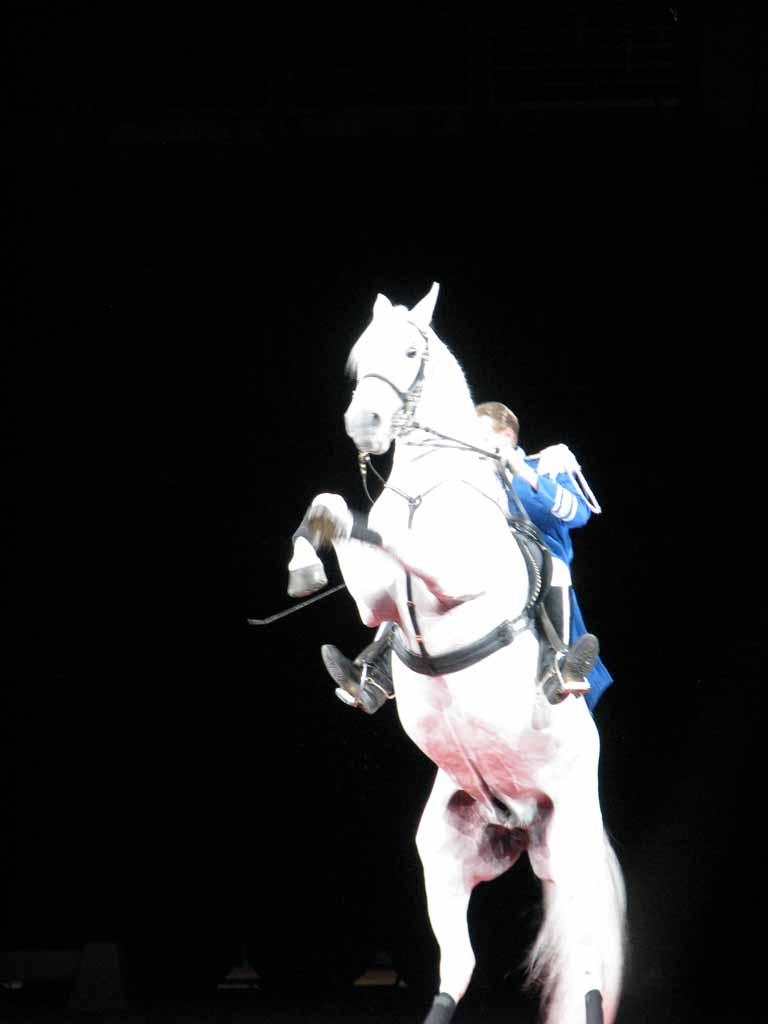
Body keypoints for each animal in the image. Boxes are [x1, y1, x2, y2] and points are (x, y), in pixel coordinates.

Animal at [286, 282, 626, 1024]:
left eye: (411, 352)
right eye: (360, 356)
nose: (365, 423)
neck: (425, 491)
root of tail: (518, 821)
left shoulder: (462, 587)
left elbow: (408, 550)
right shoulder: (376, 604)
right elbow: (339, 516)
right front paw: (305, 560)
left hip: (574, 850)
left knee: (586, 965)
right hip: (444, 853)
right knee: (458, 967)